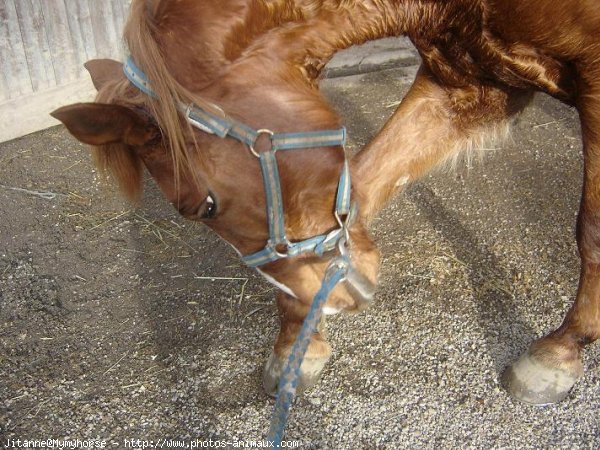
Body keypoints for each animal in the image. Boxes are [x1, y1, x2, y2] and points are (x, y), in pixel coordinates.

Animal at [52, 0, 600, 406]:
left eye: (203, 207)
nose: (336, 298)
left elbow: (591, 230)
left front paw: (559, 352)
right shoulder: (469, 83)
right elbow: (363, 184)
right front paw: (299, 344)